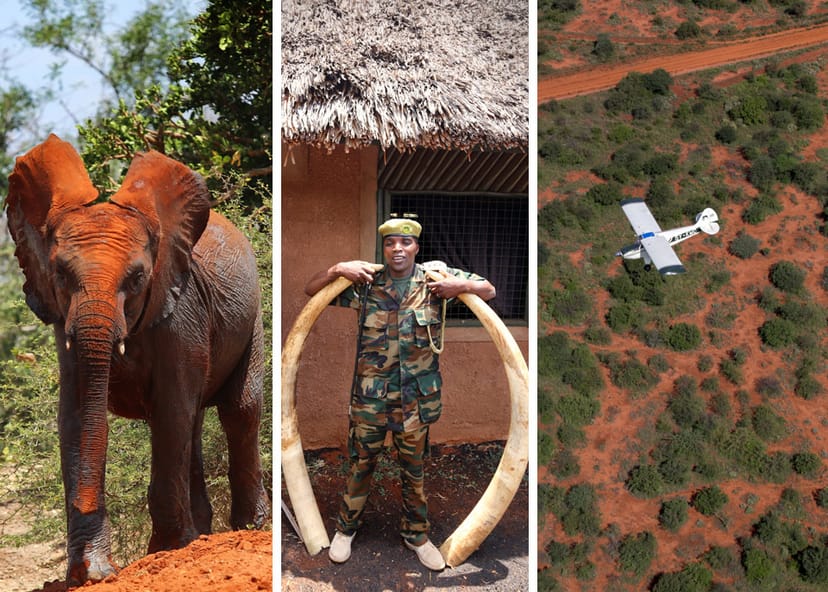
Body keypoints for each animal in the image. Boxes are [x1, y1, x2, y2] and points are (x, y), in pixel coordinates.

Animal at [4, 134, 269, 585]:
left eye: (137, 278)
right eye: (60, 275)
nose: (87, 503)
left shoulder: (181, 312)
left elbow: (170, 411)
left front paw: (164, 552)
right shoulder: (63, 321)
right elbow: (77, 416)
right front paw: (90, 574)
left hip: (252, 320)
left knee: (238, 411)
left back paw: (247, 530)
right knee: (194, 423)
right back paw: (201, 536)